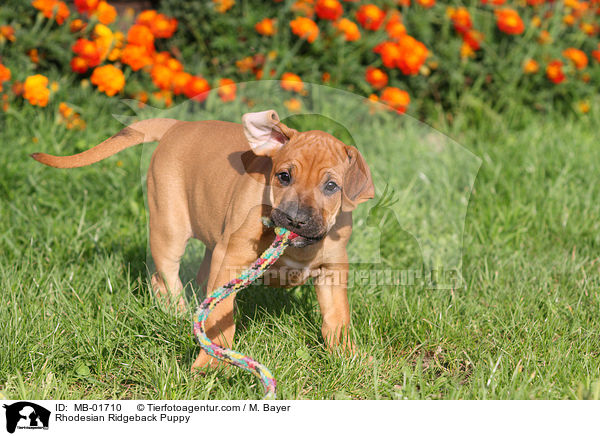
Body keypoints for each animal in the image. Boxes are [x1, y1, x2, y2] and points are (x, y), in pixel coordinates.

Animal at [32, 110, 372, 370]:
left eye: (331, 186)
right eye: (284, 176)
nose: (295, 220)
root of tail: (179, 126)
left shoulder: (332, 270)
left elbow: (337, 318)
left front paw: (349, 356)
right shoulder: (231, 258)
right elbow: (220, 314)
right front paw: (213, 361)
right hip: (169, 227)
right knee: (165, 276)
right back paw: (178, 312)